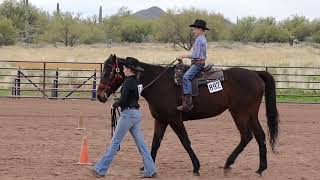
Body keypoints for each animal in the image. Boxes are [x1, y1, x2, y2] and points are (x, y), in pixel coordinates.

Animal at [97, 54, 278, 176]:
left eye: (107, 73)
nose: (99, 96)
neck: (159, 83)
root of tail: (255, 74)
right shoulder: (161, 120)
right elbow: (156, 142)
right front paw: (147, 167)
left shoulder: (175, 120)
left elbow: (185, 142)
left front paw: (196, 167)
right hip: (251, 114)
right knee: (260, 136)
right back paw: (260, 168)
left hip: (240, 114)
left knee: (246, 136)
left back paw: (228, 163)